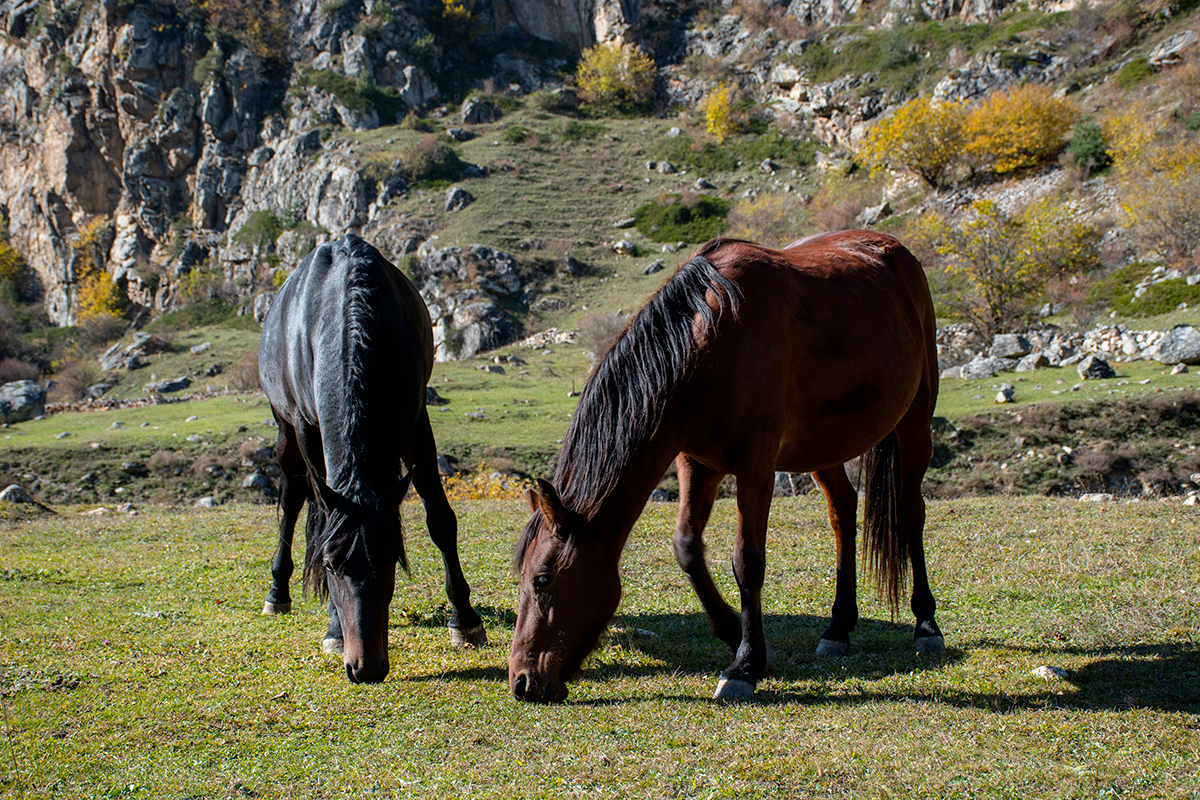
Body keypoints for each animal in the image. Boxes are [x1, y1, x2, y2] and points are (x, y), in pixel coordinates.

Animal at [260, 230, 484, 681]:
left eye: (390, 560)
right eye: (331, 566)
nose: (365, 668)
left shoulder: (415, 422)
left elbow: (440, 519)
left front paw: (465, 619)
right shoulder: (308, 429)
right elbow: (320, 523)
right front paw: (333, 627)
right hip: (285, 430)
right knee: (293, 499)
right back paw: (278, 592)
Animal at [511, 230, 940, 700]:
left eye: (543, 579)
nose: (522, 681)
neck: (706, 344)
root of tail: (892, 248)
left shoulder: (756, 466)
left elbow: (747, 561)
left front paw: (744, 666)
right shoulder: (696, 463)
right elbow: (686, 547)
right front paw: (738, 637)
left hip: (915, 419)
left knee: (911, 512)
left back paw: (926, 626)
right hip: (824, 445)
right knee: (843, 512)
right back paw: (838, 628)